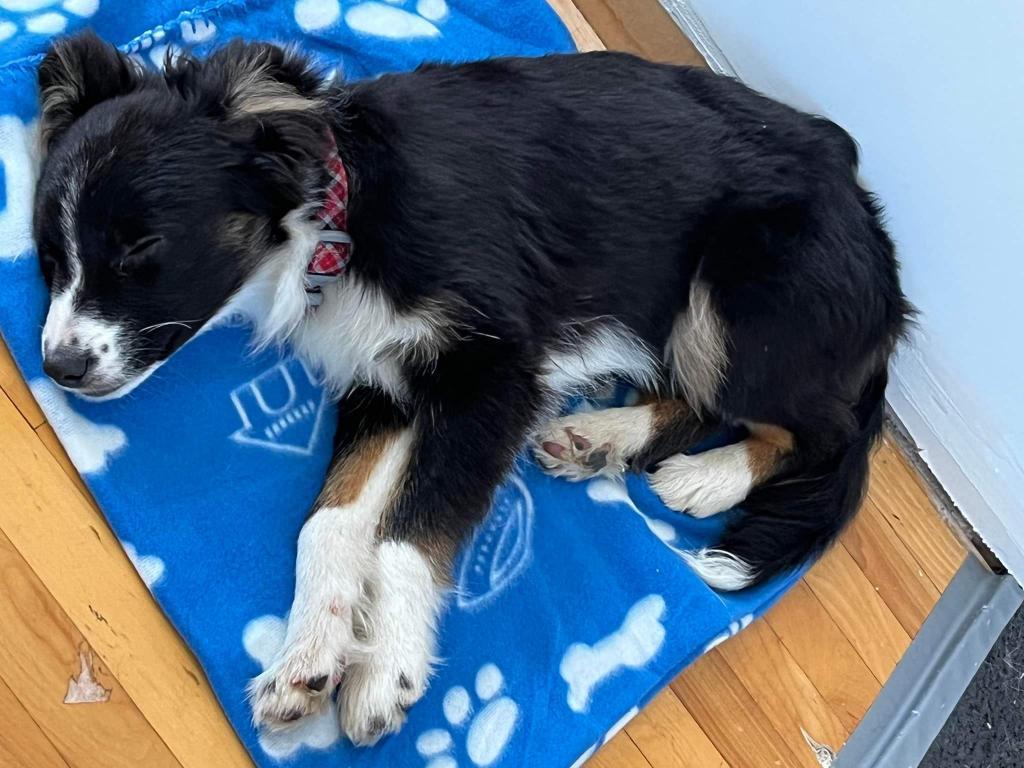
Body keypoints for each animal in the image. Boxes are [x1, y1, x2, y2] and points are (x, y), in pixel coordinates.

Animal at [33, 32, 910, 743]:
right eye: (50, 258)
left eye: (142, 251)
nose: (58, 367)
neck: (341, 216)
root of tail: (870, 222)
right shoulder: (383, 384)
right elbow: (331, 522)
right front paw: (306, 658)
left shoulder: (493, 374)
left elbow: (406, 535)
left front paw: (383, 674)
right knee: (707, 401)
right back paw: (602, 437)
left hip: (739, 299)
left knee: (822, 434)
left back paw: (707, 477)